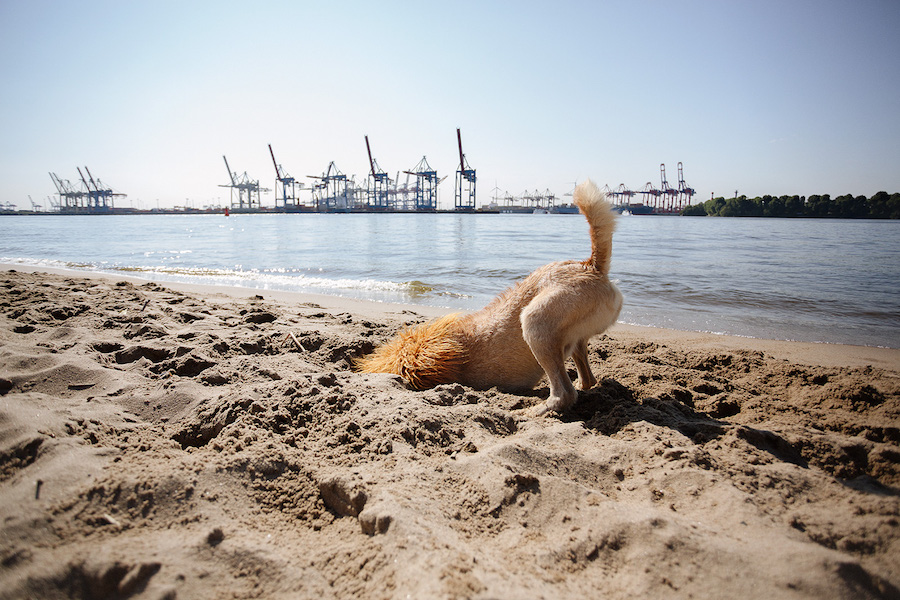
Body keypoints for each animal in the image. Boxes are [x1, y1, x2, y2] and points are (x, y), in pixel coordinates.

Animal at [356, 177, 624, 412]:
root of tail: (590, 265)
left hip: (534, 323)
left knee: (564, 394)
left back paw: (538, 409)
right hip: (571, 337)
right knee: (587, 377)